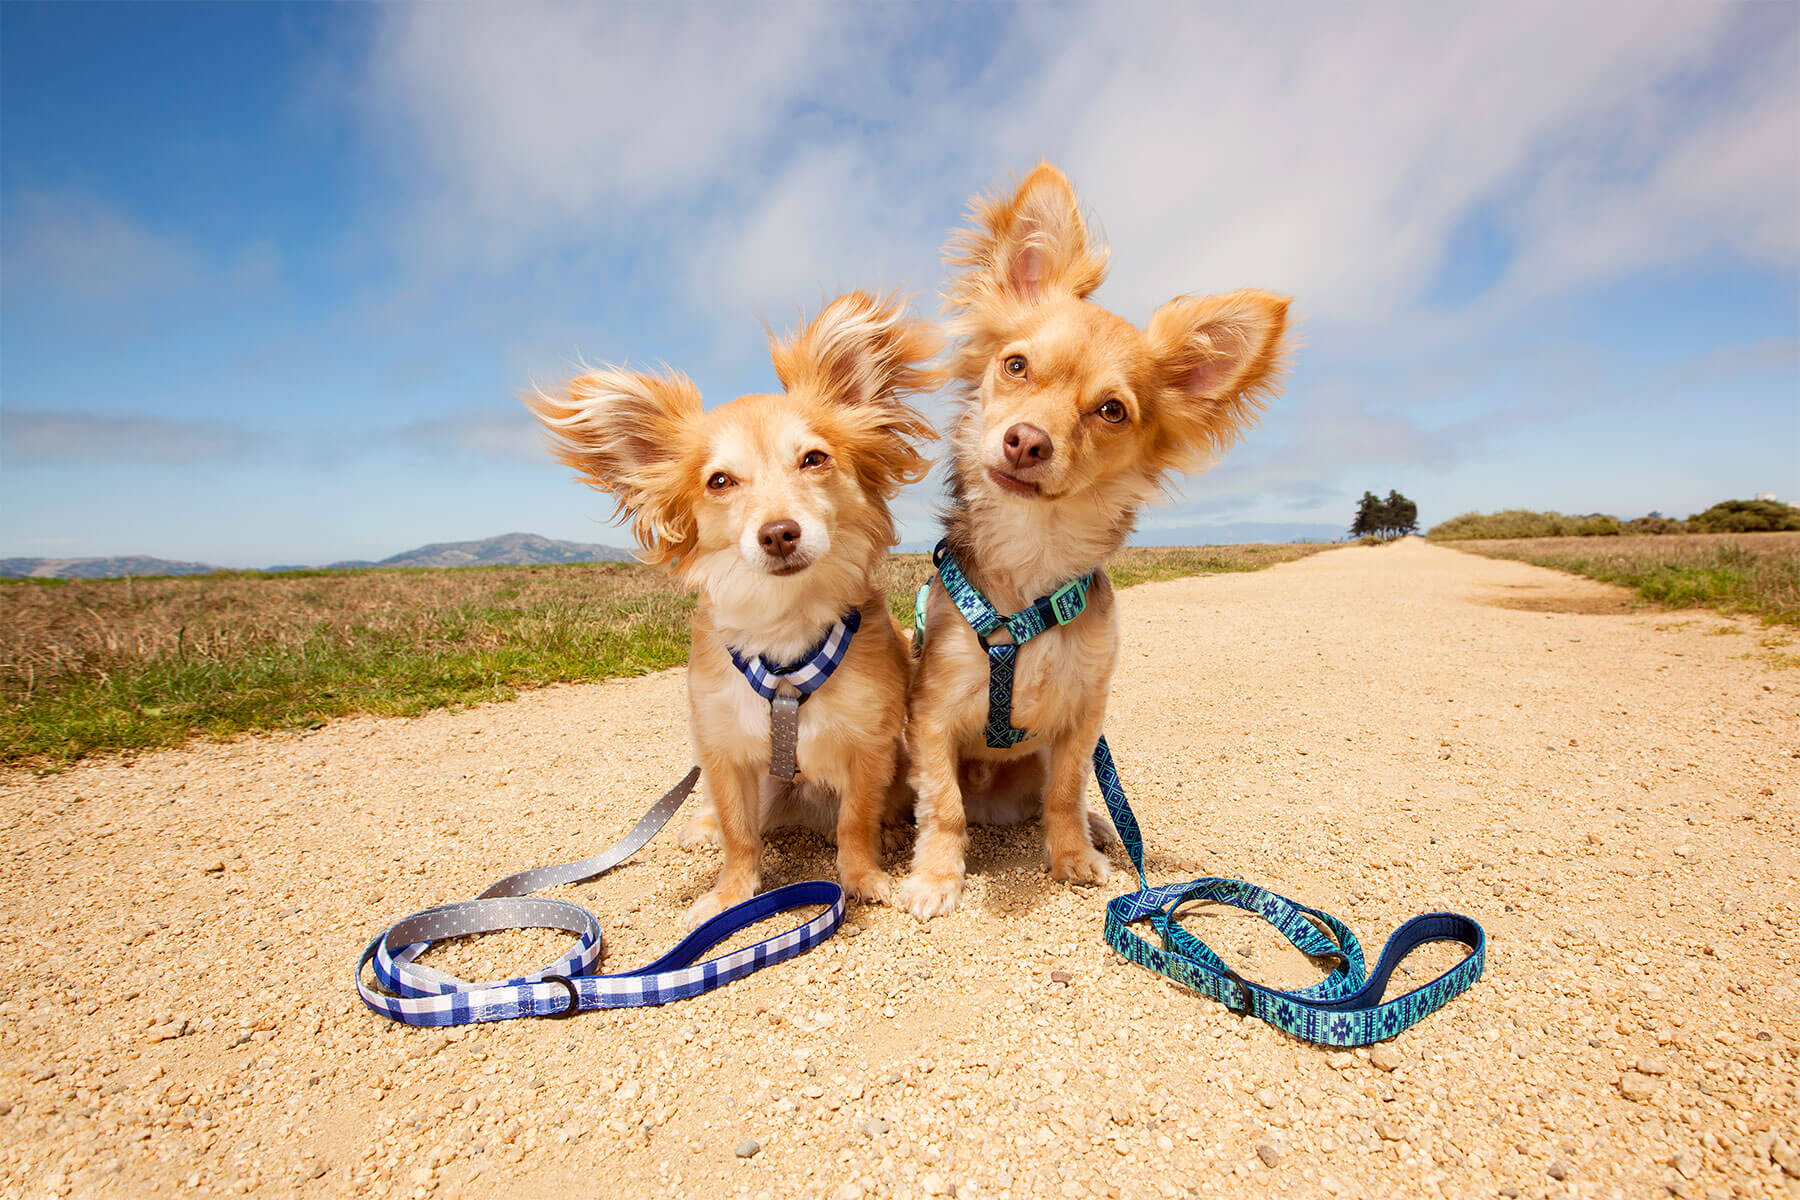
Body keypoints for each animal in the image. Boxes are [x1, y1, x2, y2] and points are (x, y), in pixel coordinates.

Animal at [900, 166, 1296, 921]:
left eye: (1111, 410)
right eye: (1016, 366)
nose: (1027, 441)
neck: (1032, 559)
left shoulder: (1084, 717)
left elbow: (1064, 791)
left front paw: (1072, 857)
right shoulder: (932, 714)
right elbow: (944, 807)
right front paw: (936, 878)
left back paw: (1099, 829)